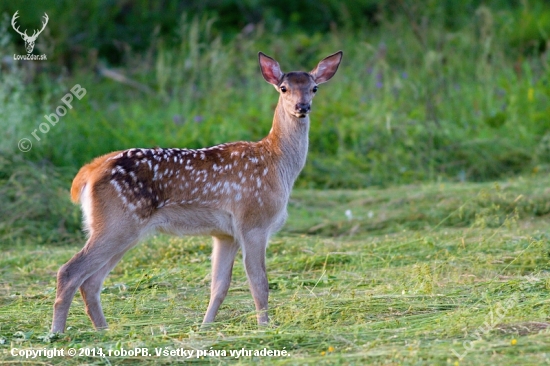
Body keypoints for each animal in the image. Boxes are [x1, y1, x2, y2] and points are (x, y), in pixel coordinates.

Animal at [52, 50, 344, 334]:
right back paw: (57, 333)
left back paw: (104, 332)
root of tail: (88, 172)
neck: (277, 163)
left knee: (91, 281)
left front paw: (205, 327)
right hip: (118, 222)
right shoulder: (254, 221)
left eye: (314, 88)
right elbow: (259, 283)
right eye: (283, 88)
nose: (302, 107)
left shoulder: (226, 234)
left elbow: (219, 286)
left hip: (120, 229)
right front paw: (265, 329)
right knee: (69, 272)